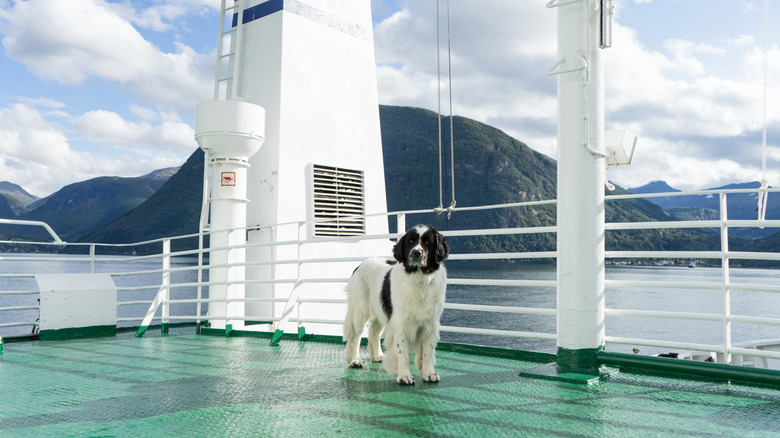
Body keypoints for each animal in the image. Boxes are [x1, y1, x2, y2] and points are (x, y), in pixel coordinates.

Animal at [342, 226, 448, 384]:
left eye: (427, 243)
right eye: (410, 241)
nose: (416, 253)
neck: (419, 278)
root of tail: (360, 264)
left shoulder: (430, 323)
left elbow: (427, 352)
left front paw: (429, 373)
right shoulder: (401, 324)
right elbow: (402, 352)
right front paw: (404, 376)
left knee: (373, 331)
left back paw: (378, 356)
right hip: (360, 310)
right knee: (356, 335)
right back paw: (355, 360)